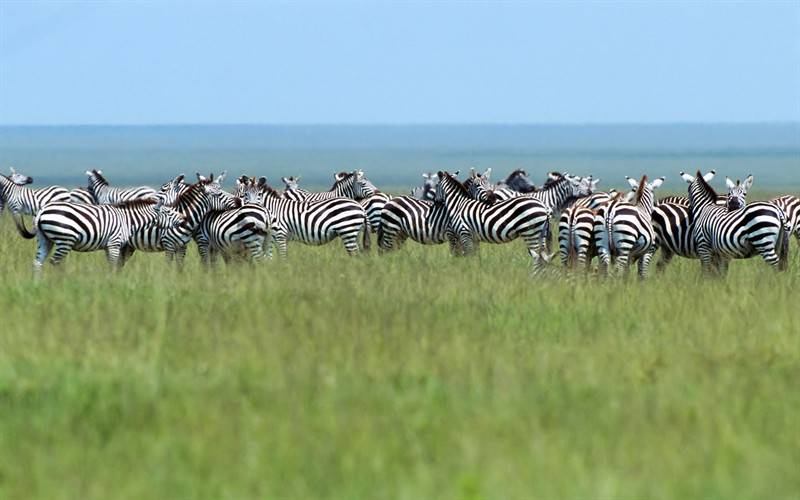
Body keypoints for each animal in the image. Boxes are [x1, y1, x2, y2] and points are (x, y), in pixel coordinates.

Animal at [23, 200, 186, 276]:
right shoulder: (114, 243)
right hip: (65, 240)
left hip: (45, 240)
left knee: (37, 263)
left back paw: (38, 284)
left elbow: (112, 265)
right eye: (169, 213)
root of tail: (42, 210)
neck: (128, 220)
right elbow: (114, 265)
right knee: (55, 261)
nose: (184, 218)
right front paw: (112, 283)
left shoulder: (109, 246)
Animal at [234, 177, 368, 258]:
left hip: (347, 231)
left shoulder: (280, 234)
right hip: (352, 233)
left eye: (260, 195)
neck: (271, 210)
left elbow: (282, 256)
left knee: (355, 254)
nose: (252, 208)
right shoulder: (272, 237)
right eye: (245, 194)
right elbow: (271, 256)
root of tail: (360, 206)